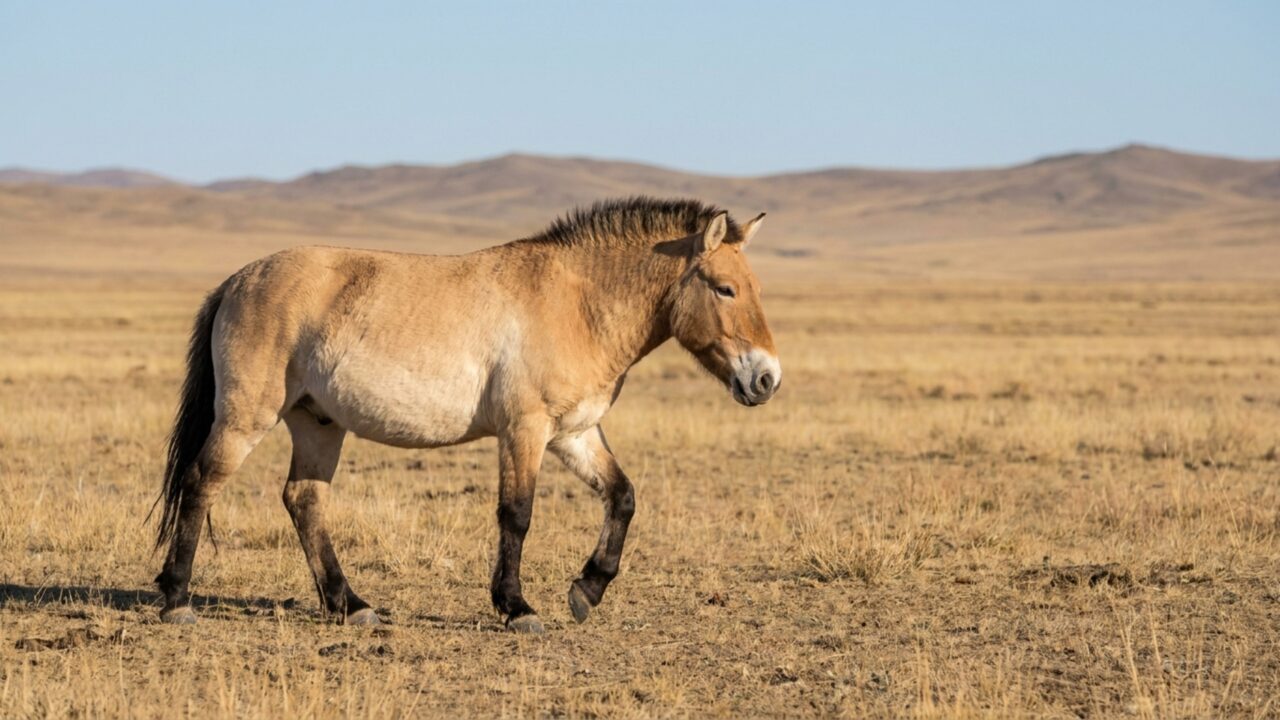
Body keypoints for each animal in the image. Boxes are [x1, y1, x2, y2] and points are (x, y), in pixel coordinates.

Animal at [152, 197, 781, 633]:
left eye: (755, 287)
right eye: (725, 288)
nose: (766, 379)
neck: (577, 304)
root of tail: (236, 281)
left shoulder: (574, 433)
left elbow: (622, 496)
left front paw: (587, 590)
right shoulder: (524, 430)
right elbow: (517, 514)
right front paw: (518, 608)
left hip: (317, 423)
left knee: (304, 500)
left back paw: (351, 606)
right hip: (246, 417)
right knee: (202, 482)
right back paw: (177, 599)